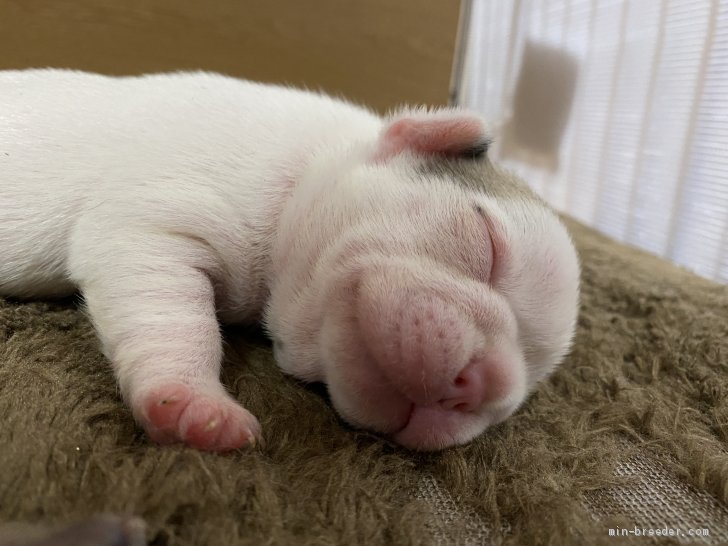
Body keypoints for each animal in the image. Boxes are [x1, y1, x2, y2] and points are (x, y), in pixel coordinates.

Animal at [0, 68, 580, 450]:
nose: (485, 383)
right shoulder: (150, 224)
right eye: (488, 246)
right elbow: (176, 318)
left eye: (515, 398)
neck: (308, 168)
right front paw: (195, 404)